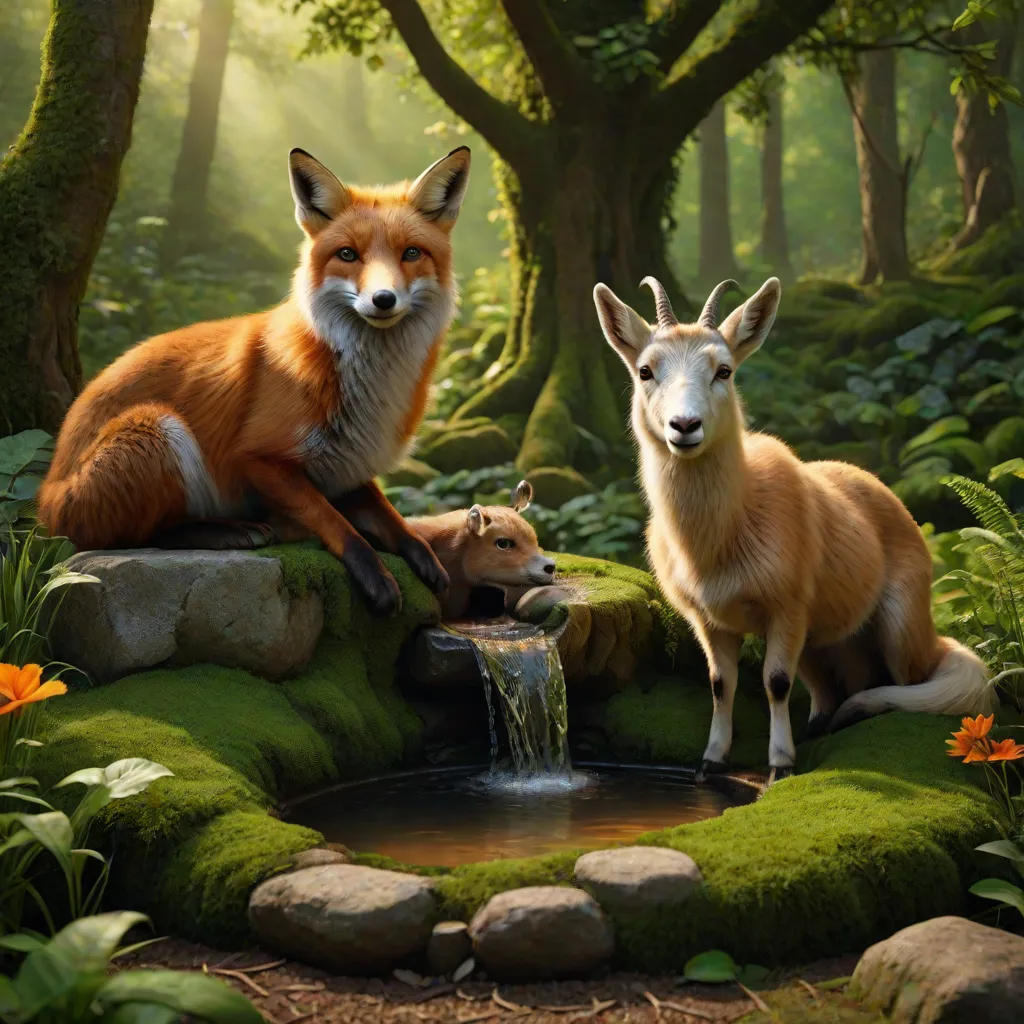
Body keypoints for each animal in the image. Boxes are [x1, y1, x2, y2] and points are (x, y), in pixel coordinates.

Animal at [38, 146, 473, 615]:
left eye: (410, 253)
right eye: (348, 254)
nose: (383, 299)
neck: (368, 391)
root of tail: (44, 494)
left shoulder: (348, 466)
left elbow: (390, 516)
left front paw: (422, 556)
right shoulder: (258, 458)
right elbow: (335, 522)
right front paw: (373, 572)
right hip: (153, 428)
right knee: (131, 536)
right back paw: (227, 530)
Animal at [593, 275, 995, 783]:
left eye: (724, 370)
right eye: (645, 371)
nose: (684, 426)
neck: (721, 539)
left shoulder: (788, 607)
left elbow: (776, 682)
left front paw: (780, 765)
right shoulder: (708, 619)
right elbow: (720, 683)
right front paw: (711, 760)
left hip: (901, 625)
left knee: (915, 676)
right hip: (824, 643)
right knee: (837, 685)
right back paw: (823, 724)